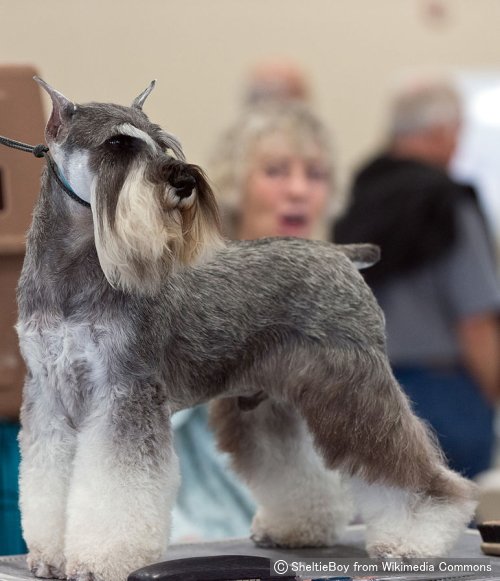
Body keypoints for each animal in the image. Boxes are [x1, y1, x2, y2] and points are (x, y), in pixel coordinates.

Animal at [15, 80, 476, 580]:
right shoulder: (49, 397)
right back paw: (299, 528)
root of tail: (339, 254)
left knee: (404, 465)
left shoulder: (125, 394)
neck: (74, 273)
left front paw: (99, 560)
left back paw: (416, 537)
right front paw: (49, 555)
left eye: (162, 142)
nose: (184, 181)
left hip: (355, 392)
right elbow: (45, 479)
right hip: (272, 404)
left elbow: (114, 487)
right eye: (118, 143)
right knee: (301, 469)